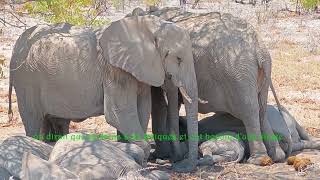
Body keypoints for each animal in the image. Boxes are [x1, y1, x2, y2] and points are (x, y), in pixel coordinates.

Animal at [7, 15, 199, 172]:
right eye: (178, 58)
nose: (179, 165)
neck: (144, 26)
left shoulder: (137, 70)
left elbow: (142, 110)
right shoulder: (115, 70)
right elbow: (118, 113)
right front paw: (140, 160)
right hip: (26, 79)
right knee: (33, 120)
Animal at [128, 7, 288, 165]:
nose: (175, 159)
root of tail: (259, 49)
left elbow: (158, 103)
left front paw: (160, 155)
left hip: (238, 74)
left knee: (249, 110)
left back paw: (258, 160)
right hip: (255, 74)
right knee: (261, 109)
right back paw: (276, 156)